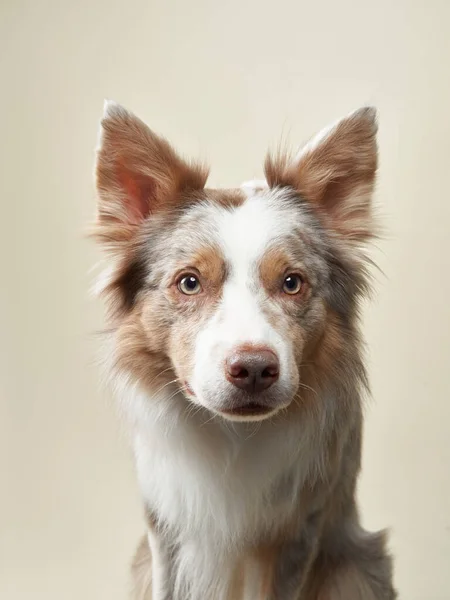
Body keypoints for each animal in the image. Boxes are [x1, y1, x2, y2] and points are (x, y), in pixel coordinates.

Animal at [93, 101, 396, 596]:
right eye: (189, 282)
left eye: (292, 282)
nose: (254, 369)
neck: (232, 437)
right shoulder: (163, 523)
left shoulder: (301, 527)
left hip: (358, 566)